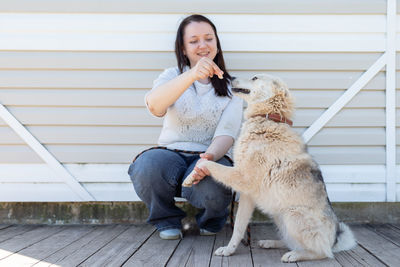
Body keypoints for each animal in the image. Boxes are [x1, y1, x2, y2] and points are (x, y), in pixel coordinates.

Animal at [182, 74, 356, 262]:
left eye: (254, 77)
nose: (231, 77)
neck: (267, 117)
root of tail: (335, 239)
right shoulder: (247, 194)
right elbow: (238, 228)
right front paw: (229, 250)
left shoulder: (242, 177)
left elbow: (209, 164)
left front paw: (193, 174)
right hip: (279, 216)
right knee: (290, 241)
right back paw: (270, 243)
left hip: (292, 214)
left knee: (322, 252)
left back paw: (294, 255)